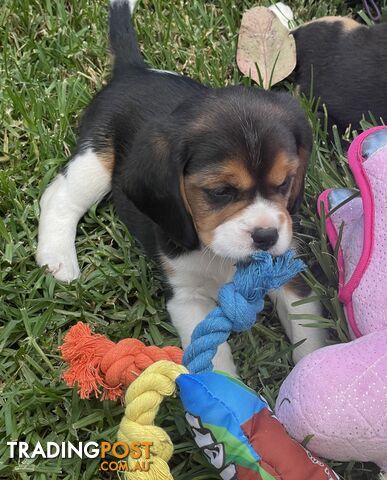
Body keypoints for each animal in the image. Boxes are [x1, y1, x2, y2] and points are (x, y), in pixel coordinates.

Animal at [37, 0, 328, 376]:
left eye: (284, 183)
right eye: (221, 192)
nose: (266, 237)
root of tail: (132, 71)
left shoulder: (290, 277)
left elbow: (310, 334)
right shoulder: (186, 296)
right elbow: (213, 362)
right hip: (95, 158)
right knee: (59, 197)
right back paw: (57, 258)